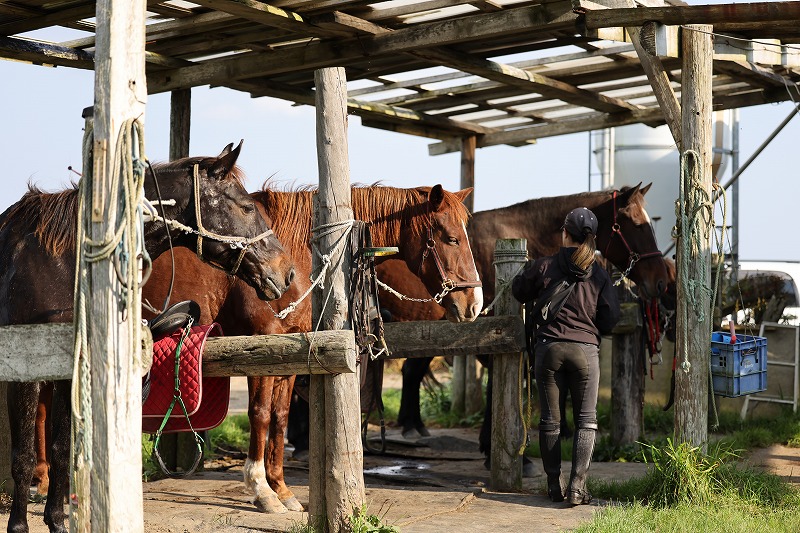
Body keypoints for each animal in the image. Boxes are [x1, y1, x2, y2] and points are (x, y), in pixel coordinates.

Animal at [0, 142, 296, 532]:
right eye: (247, 207)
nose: (287, 272)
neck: (58, 261)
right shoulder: (26, 375)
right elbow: (22, 454)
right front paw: (19, 525)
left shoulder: (69, 370)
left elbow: (63, 450)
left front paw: (58, 521)